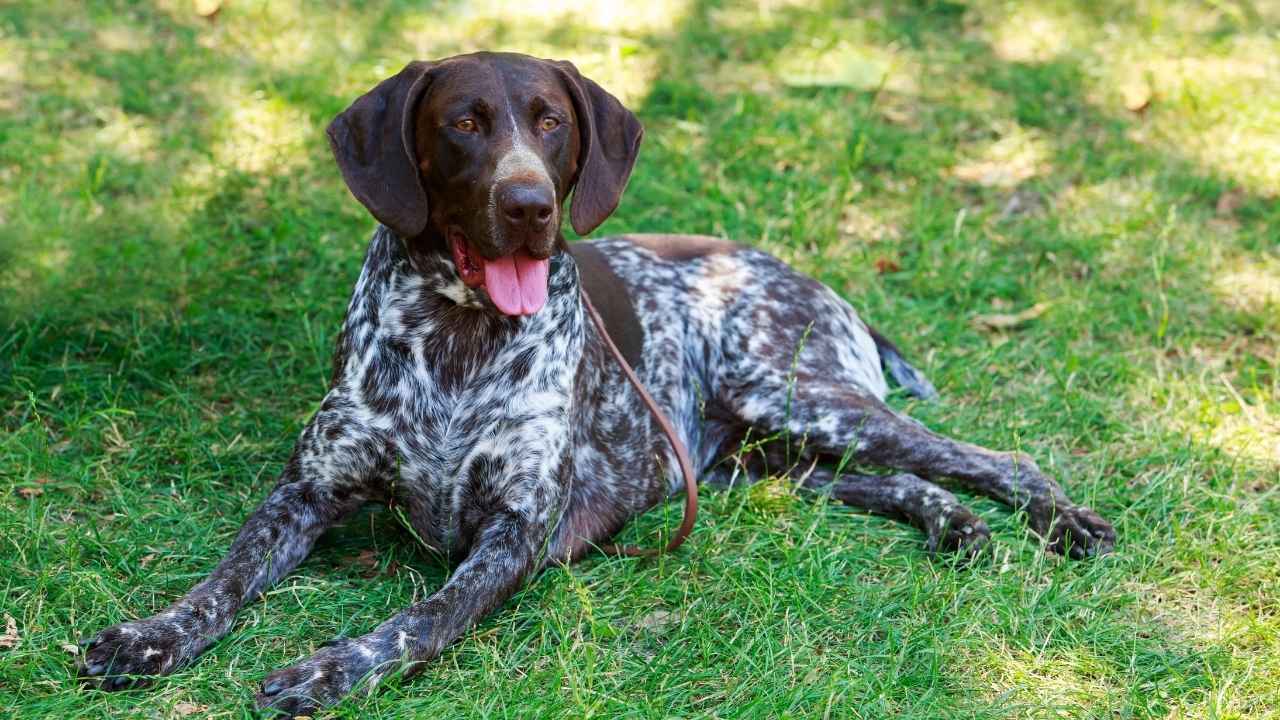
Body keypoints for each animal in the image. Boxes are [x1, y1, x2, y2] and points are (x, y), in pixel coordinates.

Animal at [80, 51, 1116, 712]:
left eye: (550, 123)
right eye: (463, 124)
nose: (530, 205)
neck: (457, 337)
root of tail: (819, 284)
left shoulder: (514, 535)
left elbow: (417, 621)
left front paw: (331, 669)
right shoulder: (307, 492)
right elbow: (223, 577)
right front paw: (152, 635)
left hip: (801, 399)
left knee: (990, 456)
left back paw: (1063, 520)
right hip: (759, 464)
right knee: (898, 480)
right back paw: (954, 526)